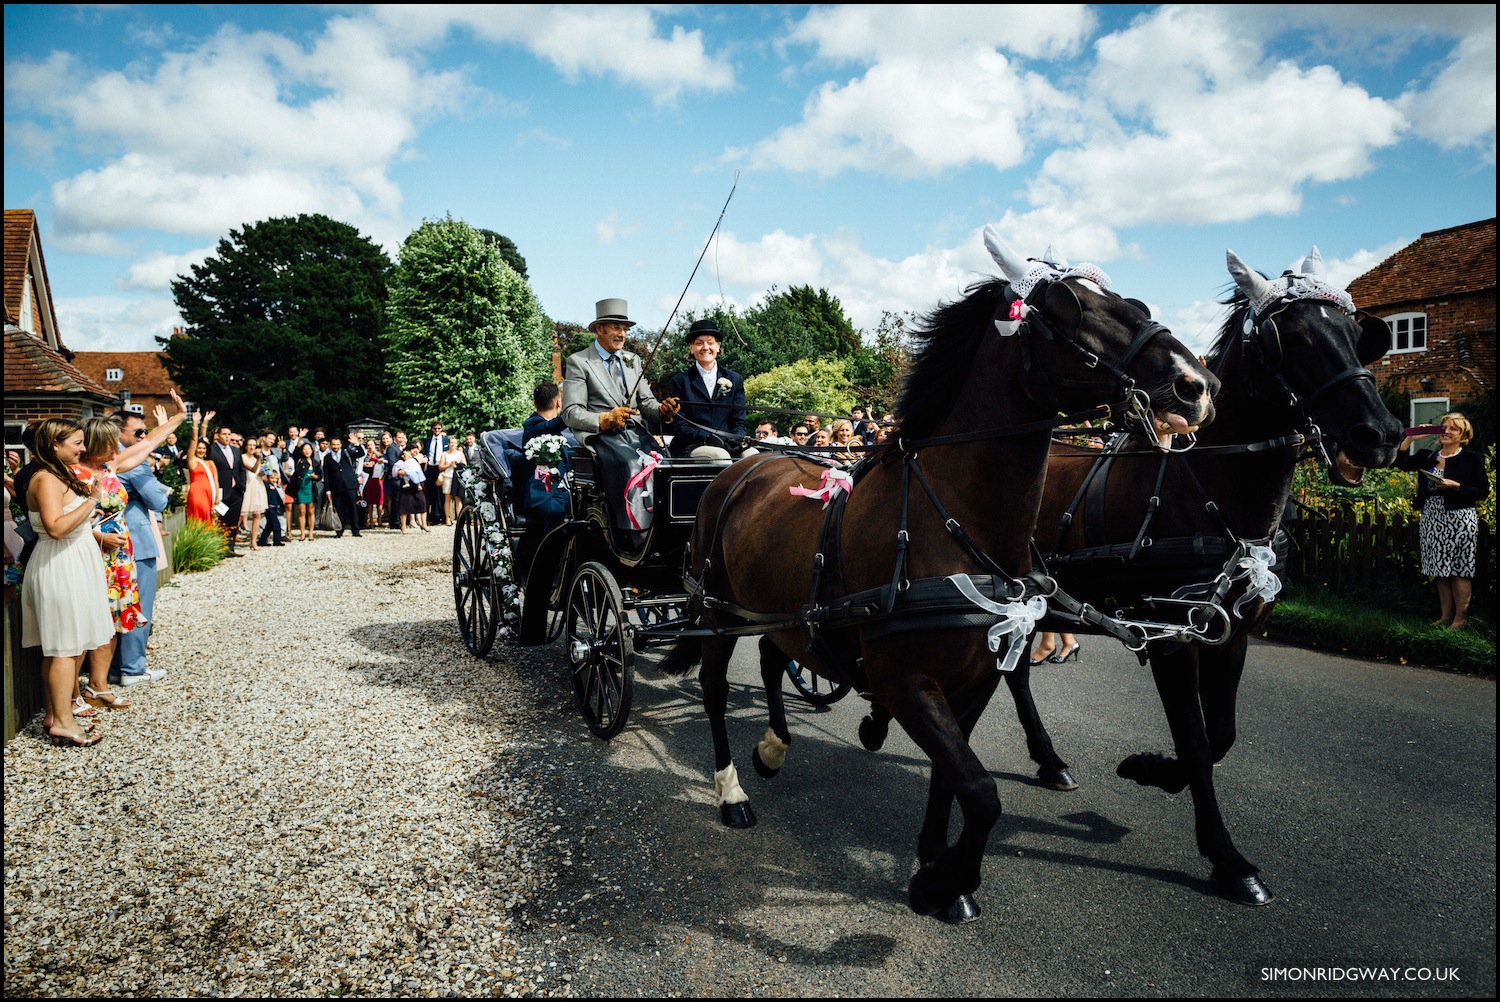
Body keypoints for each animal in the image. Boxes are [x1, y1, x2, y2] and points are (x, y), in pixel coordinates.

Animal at [669, 231, 1218, 918]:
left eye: (1134, 303)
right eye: (1069, 309)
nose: (1198, 384)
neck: (949, 524)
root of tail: (737, 467)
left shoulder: (974, 679)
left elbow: (952, 778)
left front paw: (934, 859)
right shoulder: (906, 683)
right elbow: (981, 792)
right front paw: (945, 880)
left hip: (780, 612)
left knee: (774, 658)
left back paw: (772, 747)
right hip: (719, 612)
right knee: (716, 689)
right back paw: (731, 792)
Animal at [984, 246, 1404, 906]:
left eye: (1356, 336)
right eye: (1291, 340)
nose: (1381, 434)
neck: (1206, 490)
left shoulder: (1230, 634)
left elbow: (1221, 734)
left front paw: (1155, 772)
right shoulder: (1170, 639)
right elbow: (1197, 739)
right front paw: (1226, 858)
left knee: (1018, 673)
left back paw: (1049, 760)